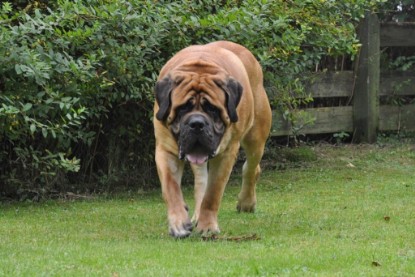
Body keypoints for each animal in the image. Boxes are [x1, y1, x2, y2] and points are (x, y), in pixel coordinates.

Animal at [153, 40, 272, 236]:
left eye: (213, 109)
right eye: (183, 108)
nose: (197, 124)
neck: (200, 67)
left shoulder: (226, 154)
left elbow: (213, 193)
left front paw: (208, 226)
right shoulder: (165, 149)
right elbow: (171, 188)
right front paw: (179, 223)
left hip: (256, 137)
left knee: (251, 168)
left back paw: (246, 202)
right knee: (202, 180)